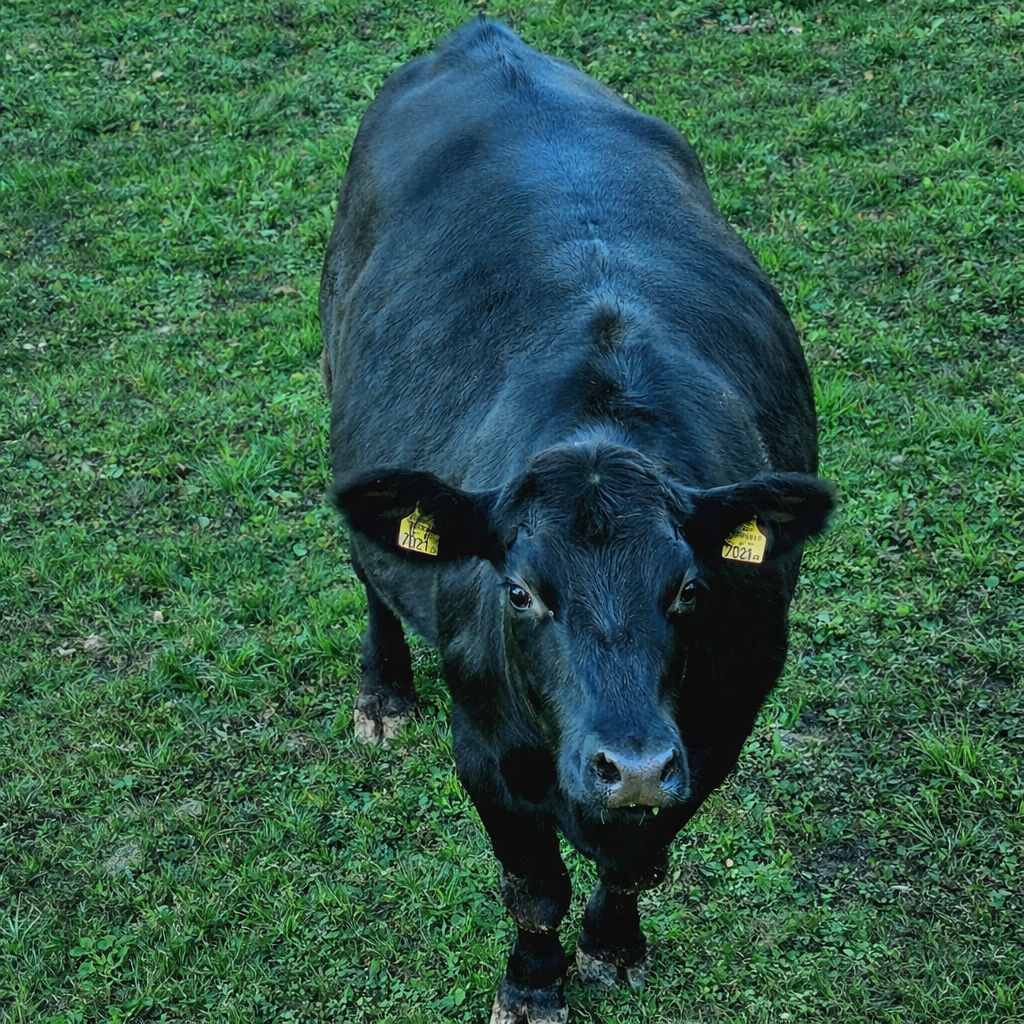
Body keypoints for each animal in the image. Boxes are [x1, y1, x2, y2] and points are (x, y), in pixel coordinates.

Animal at [319, 18, 836, 1024]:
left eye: (690, 588)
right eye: (520, 592)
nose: (628, 764)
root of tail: (486, 36)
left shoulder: (711, 737)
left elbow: (639, 861)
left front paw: (614, 945)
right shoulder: (485, 745)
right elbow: (534, 888)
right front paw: (531, 983)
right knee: (370, 573)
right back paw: (383, 694)